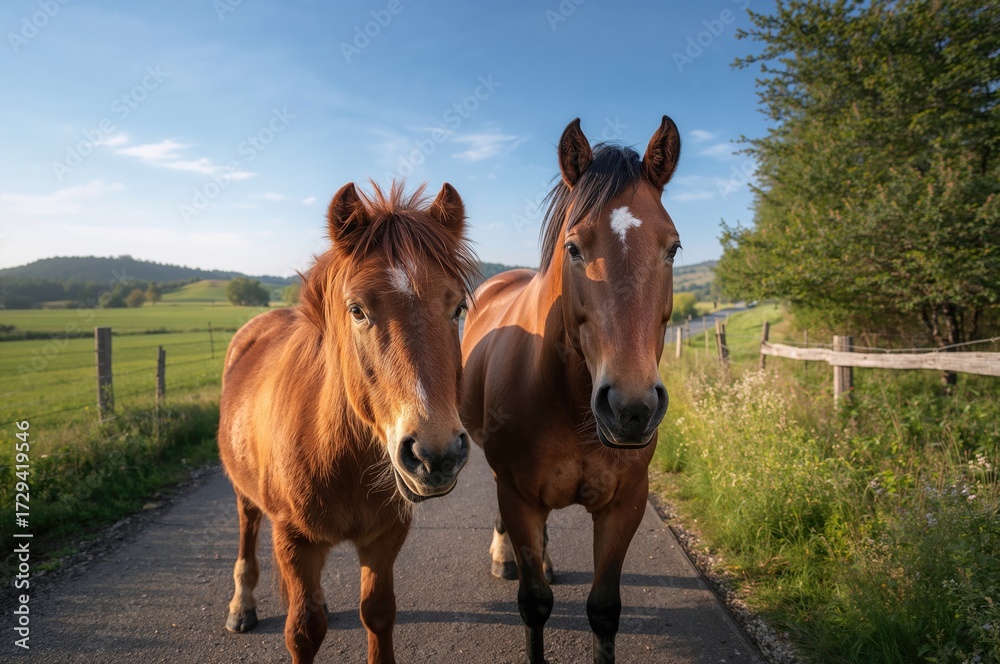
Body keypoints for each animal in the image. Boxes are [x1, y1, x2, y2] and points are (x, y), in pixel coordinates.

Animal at [218, 180, 479, 664]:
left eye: (457, 309)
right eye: (357, 310)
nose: (436, 456)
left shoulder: (385, 536)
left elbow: (377, 612)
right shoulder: (293, 540)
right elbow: (302, 631)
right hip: (245, 492)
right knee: (247, 530)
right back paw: (241, 605)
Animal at [461, 116, 682, 663]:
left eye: (673, 248)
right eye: (574, 247)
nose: (630, 408)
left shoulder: (627, 503)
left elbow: (604, 610)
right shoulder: (516, 495)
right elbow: (535, 605)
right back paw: (506, 557)